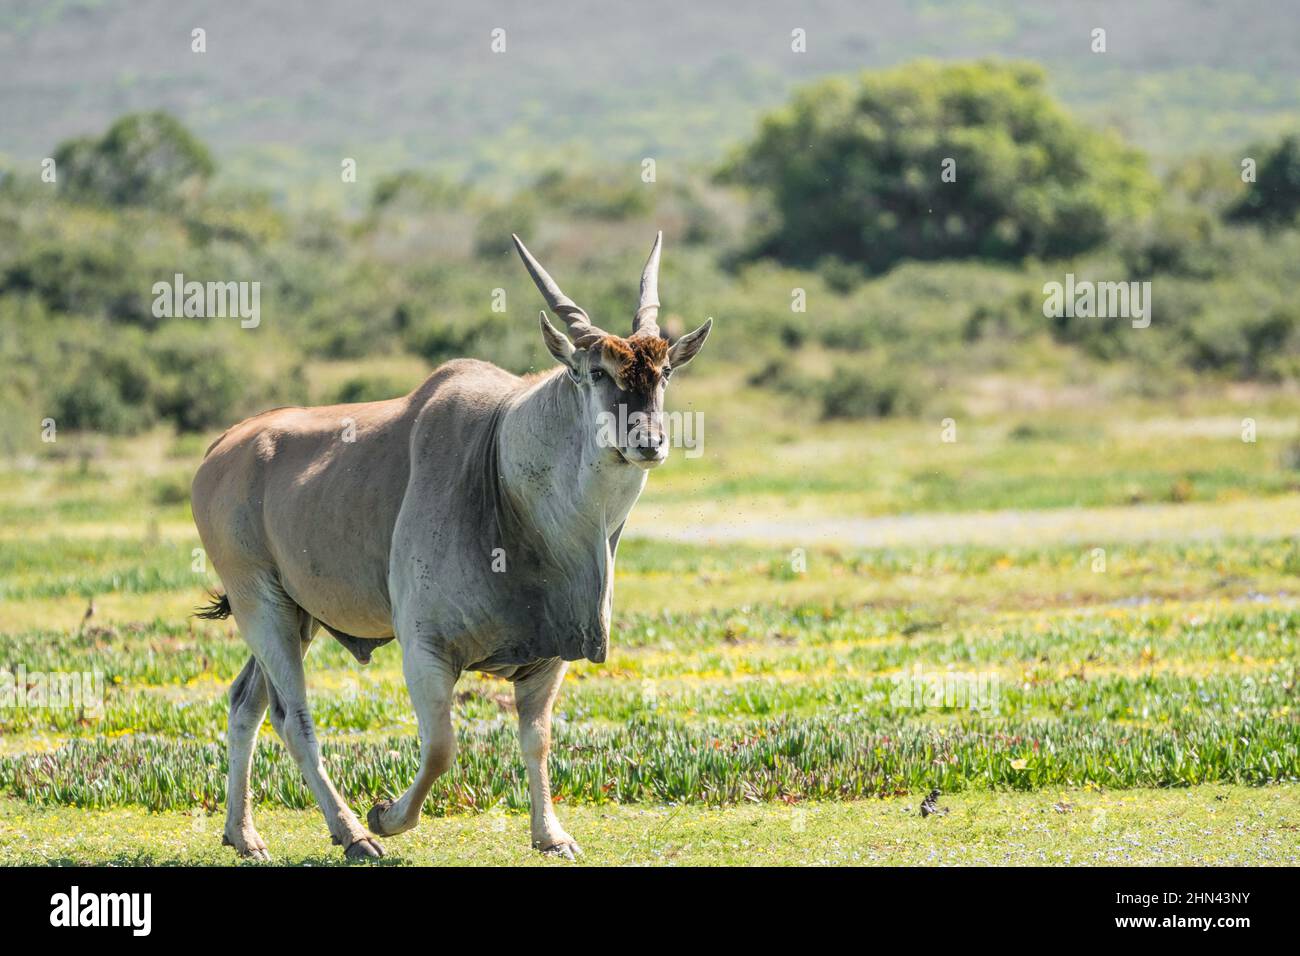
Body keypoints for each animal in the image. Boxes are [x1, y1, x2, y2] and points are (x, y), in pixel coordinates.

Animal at [192, 230, 712, 858]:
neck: (502, 461)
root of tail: (222, 446)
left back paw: (243, 834)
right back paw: (353, 834)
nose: (649, 441)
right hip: (260, 604)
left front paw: (551, 836)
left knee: (245, 701)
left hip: (296, 614)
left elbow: (536, 739)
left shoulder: (549, 656)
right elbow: (441, 747)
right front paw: (385, 816)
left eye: (663, 372)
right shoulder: (425, 648)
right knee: (293, 717)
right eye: (593, 372)